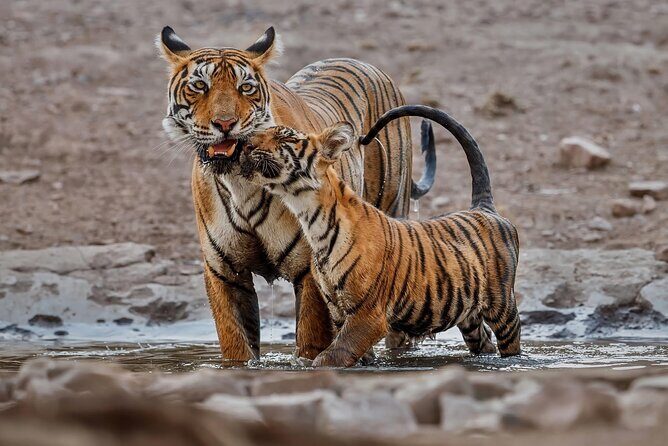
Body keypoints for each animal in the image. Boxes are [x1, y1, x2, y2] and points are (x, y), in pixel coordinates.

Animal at [157, 26, 437, 361]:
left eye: (245, 87)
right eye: (200, 85)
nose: (225, 123)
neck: (241, 179)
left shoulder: (308, 269)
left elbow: (310, 340)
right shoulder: (224, 271)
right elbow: (236, 346)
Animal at [239, 105, 522, 367]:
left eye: (285, 137)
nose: (246, 143)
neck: (309, 216)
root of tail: (482, 207)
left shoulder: (369, 315)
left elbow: (333, 355)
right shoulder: (338, 311)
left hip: (502, 304)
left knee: (511, 338)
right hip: (468, 315)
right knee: (483, 341)